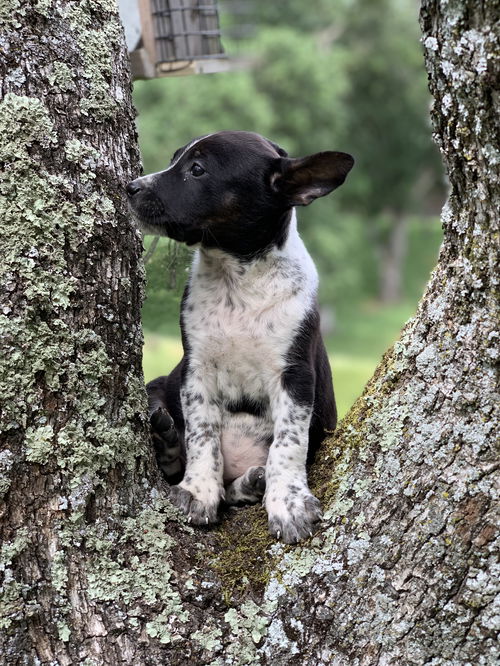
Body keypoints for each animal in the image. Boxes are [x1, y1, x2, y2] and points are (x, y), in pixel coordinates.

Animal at [127, 128, 354, 540]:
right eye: (174, 159)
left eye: (197, 169)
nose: (131, 187)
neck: (239, 280)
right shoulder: (196, 372)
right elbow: (203, 438)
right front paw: (197, 492)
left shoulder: (296, 376)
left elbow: (288, 444)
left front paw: (288, 503)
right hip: (159, 387)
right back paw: (167, 442)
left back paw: (251, 483)